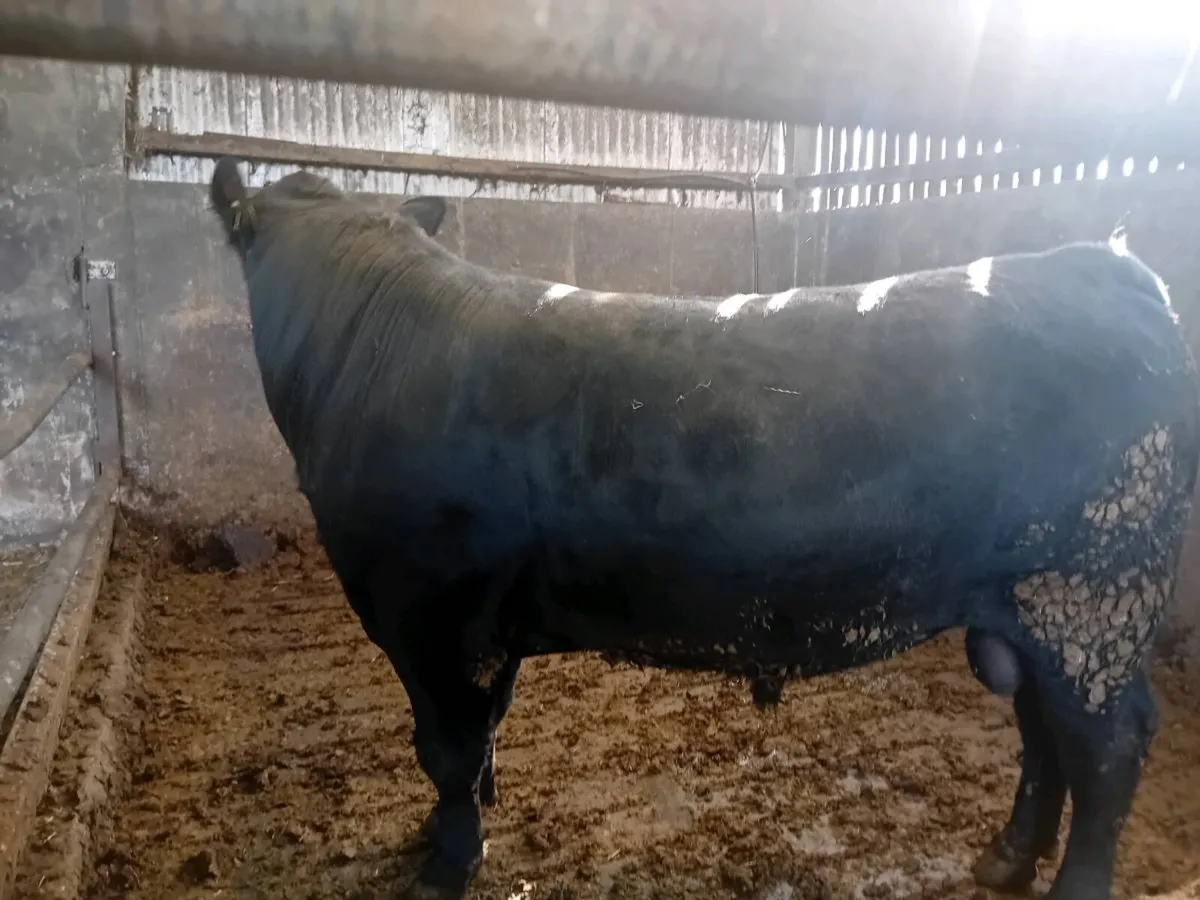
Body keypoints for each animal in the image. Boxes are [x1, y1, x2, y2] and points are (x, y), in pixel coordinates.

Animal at [208, 155, 1199, 900]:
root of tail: (1109, 266)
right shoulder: (487, 625)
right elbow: (481, 738)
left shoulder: (432, 617)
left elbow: (447, 751)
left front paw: (444, 866)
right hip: (1030, 609)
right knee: (1044, 735)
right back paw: (1003, 861)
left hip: (1093, 593)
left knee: (1108, 749)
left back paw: (1070, 883)